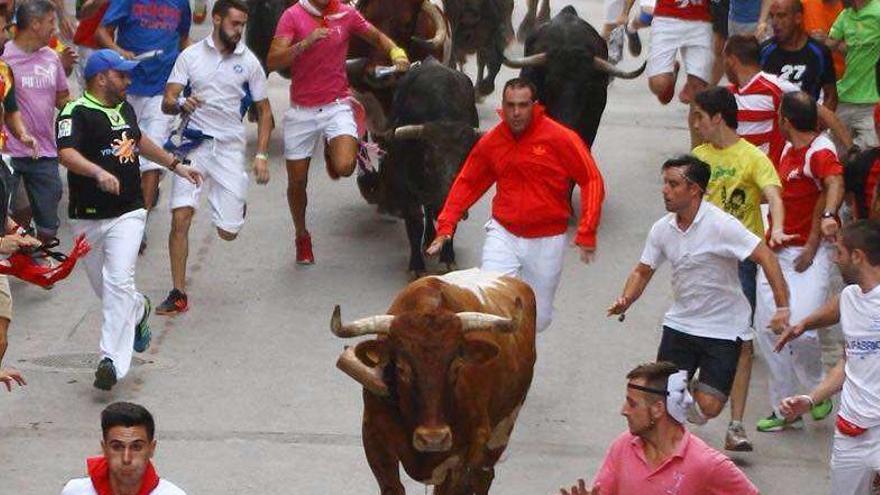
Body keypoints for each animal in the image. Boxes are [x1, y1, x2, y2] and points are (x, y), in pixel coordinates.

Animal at [332, 270, 532, 494]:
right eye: (401, 368)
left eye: (457, 366)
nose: (433, 439)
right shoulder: (375, 442)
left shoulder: (464, 455)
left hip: (502, 431)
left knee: (483, 476)